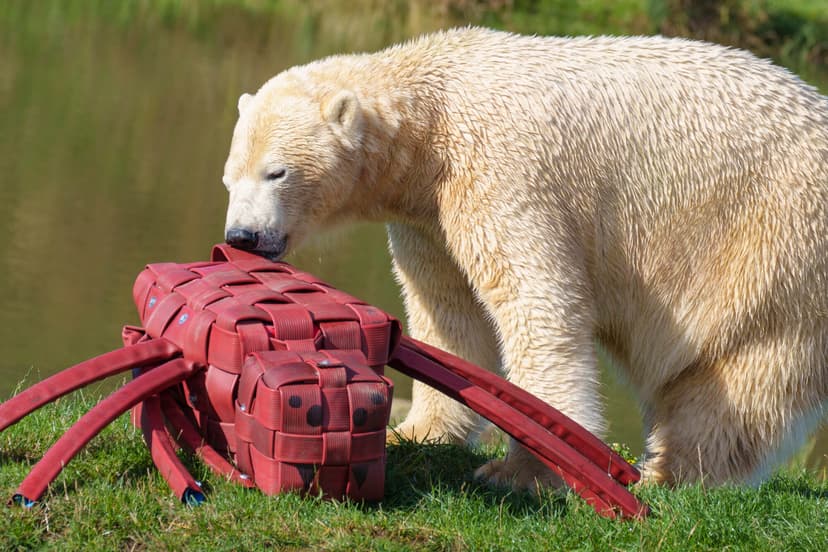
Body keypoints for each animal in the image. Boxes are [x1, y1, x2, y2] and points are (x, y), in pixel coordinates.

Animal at [221, 27, 828, 488]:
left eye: (277, 172)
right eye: (229, 178)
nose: (243, 236)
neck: (433, 117)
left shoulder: (502, 169)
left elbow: (533, 301)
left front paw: (522, 468)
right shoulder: (429, 212)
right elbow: (449, 311)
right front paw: (417, 430)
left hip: (776, 247)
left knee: (739, 377)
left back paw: (668, 473)